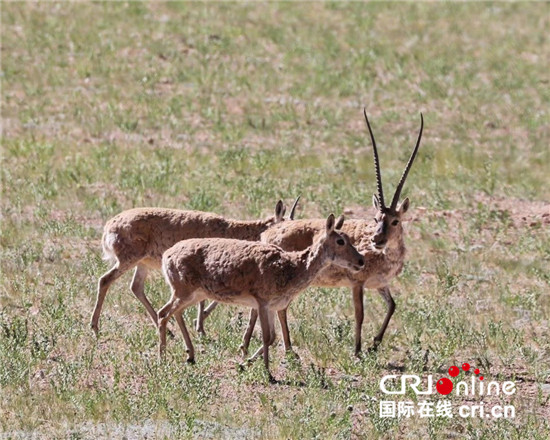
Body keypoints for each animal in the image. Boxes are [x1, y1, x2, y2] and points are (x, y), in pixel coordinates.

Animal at [91, 198, 300, 336]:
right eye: (283, 227)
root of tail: (108, 227)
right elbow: (206, 300)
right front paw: (200, 327)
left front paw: (199, 323)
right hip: (128, 259)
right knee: (105, 280)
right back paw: (94, 327)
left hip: (141, 264)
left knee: (136, 287)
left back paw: (166, 330)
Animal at [160, 215, 366, 380]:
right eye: (340, 241)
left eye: (349, 238)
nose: (361, 260)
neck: (291, 270)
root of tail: (166, 255)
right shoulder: (262, 301)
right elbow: (266, 337)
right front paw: (268, 373)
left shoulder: (273, 306)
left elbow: (273, 337)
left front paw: (246, 363)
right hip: (183, 290)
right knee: (163, 313)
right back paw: (162, 357)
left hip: (194, 293)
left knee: (174, 313)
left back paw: (190, 355)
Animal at [235, 111, 424, 358]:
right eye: (376, 218)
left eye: (395, 220)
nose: (377, 240)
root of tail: (271, 231)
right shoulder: (357, 283)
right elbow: (360, 315)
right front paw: (358, 351)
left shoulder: (380, 284)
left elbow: (392, 306)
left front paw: (374, 343)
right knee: (280, 308)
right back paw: (286, 349)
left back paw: (251, 346)